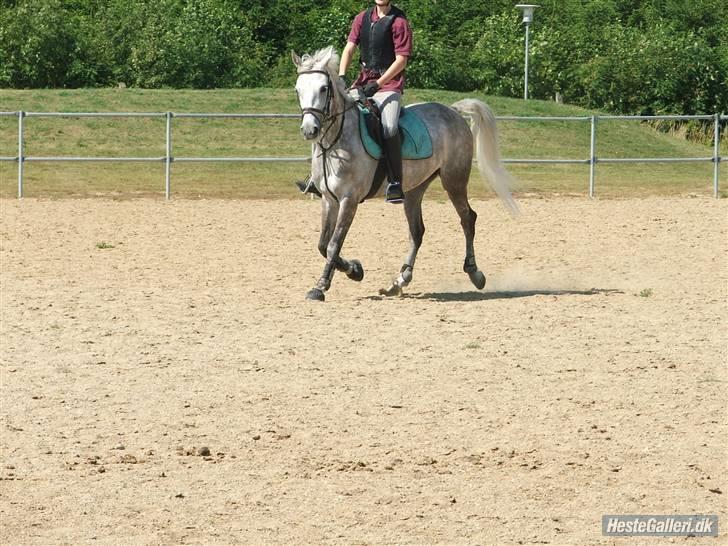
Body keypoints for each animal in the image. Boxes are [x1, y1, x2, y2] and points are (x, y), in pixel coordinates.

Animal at [292, 48, 516, 300]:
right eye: (298, 89)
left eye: (323, 88)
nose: (309, 130)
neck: (336, 141)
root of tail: (453, 111)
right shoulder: (329, 200)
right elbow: (322, 244)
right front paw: (353, 270)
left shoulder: (349, 200)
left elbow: (333, 244)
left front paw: (322, 285)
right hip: (414, 189)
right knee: (417, 231)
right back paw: (400, 280)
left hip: (454, 181)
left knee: (468, 218)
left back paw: (474, 272)